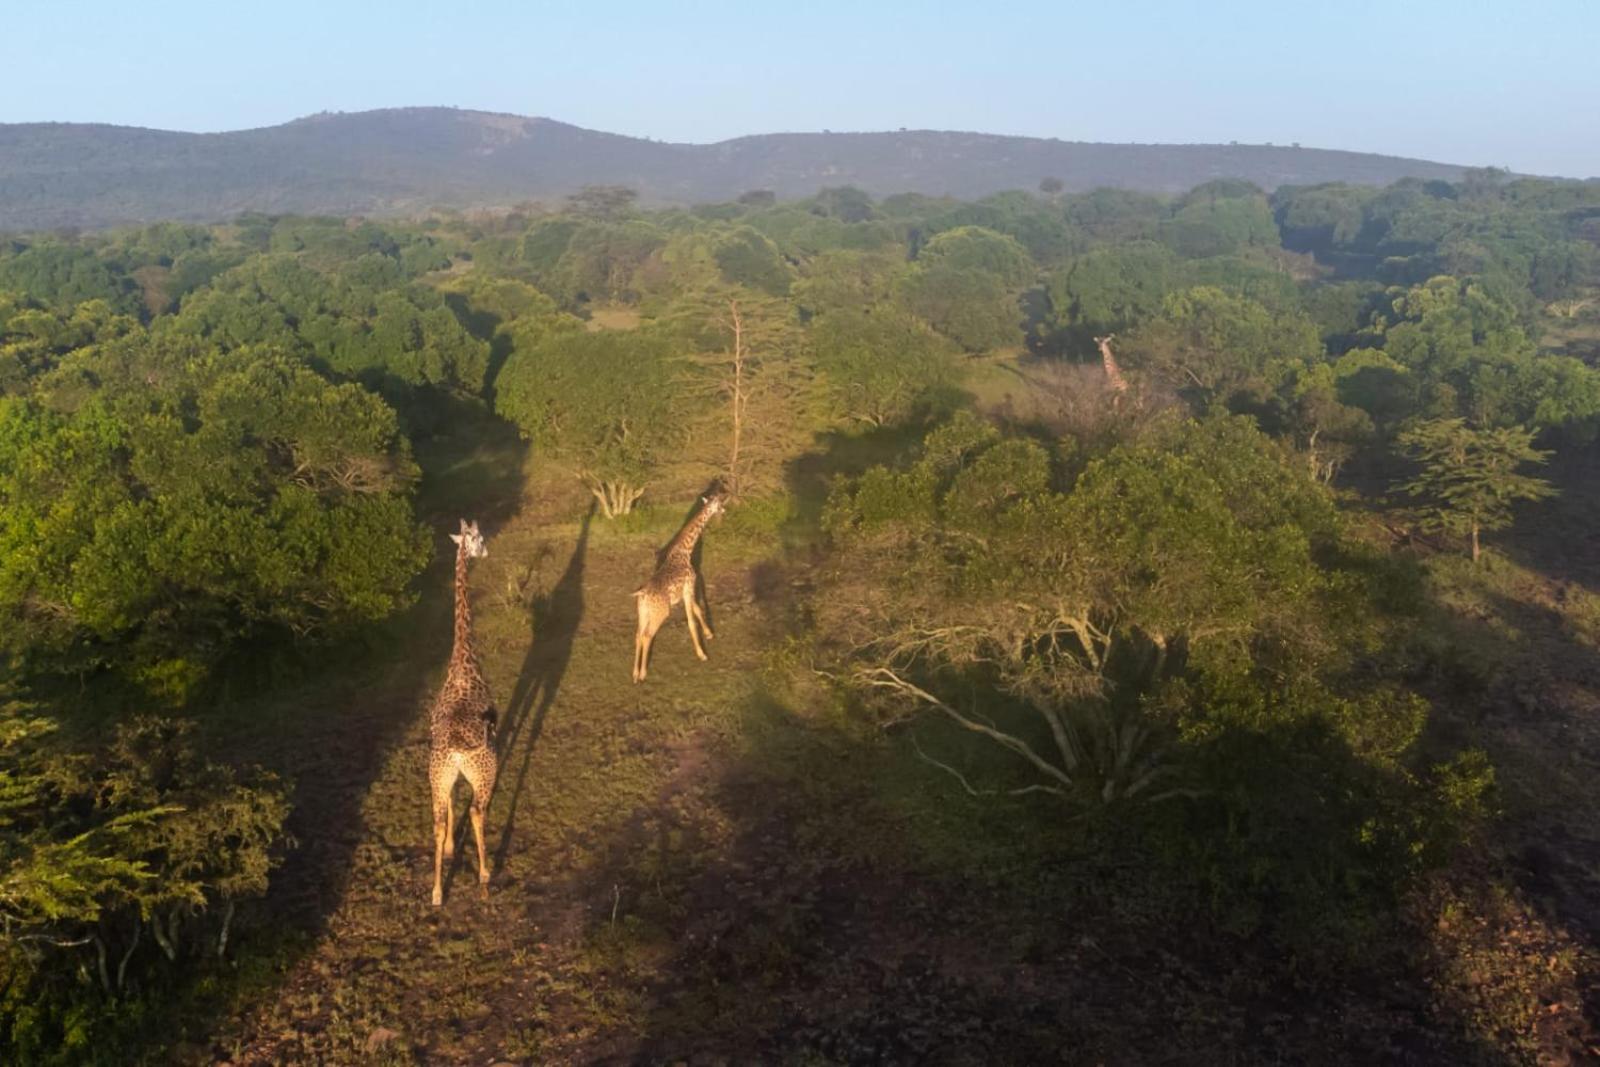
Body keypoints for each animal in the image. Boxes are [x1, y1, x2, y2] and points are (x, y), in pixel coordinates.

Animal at [630, 486, 732, 684]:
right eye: (718, 503)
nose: (724, 510)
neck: (685, 550)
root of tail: (642, 595)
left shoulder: (687, 591)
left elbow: (698, 609)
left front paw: (709, 633)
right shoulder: (689, 587)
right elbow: (691, 621)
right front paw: (702, 655)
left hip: (643, 612)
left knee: (638, 635)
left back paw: (635, 674)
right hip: (661, 613)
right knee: (647, 636)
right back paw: (644, 673)